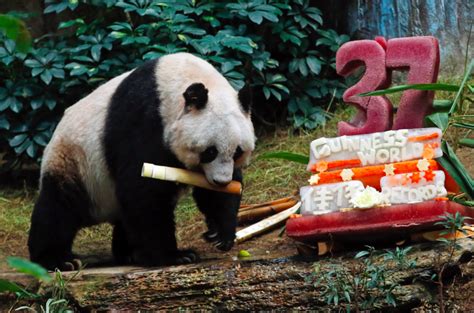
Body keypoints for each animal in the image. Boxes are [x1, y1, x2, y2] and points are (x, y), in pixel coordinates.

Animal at [27, 52, 256, 270]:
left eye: (237, 152)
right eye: (210, 152)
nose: (221, 182)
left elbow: (213, 194)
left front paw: (220, 234)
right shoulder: (144, 121)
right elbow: (143, 190)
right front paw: (174, 256)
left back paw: (128, 253)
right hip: (74, 162)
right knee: (59, 208)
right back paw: (57, 260)